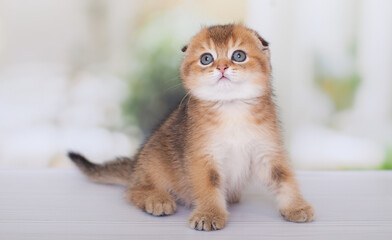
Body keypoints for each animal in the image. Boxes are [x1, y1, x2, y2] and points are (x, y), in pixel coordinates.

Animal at [66, 23, 312, 231]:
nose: (222, 67)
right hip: (154, 162)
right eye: (206, 58)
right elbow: (208, 185)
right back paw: (156, 198)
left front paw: (296, 207)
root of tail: (135, 167)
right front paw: (209, 214)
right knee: (133, 191)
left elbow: (284, 178)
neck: (232, 108)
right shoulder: (202, 155)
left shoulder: (266, 150)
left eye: (238, 55)